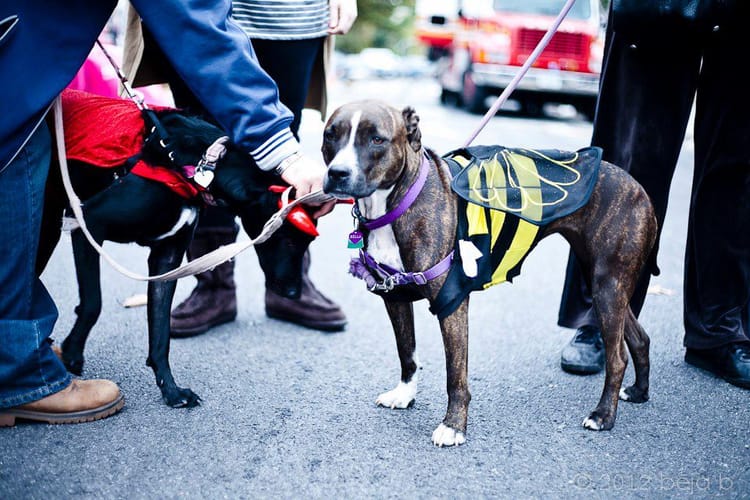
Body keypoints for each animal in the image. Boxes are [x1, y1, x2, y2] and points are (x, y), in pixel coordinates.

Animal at [39, 90, 314, 408]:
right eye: (289, 240)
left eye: (308, 242)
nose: (295, 293)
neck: (201, 164)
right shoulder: (89, 225)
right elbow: (93, 302)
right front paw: (72, 353)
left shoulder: (166, 259)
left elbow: (161, 330)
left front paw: (170, 389)